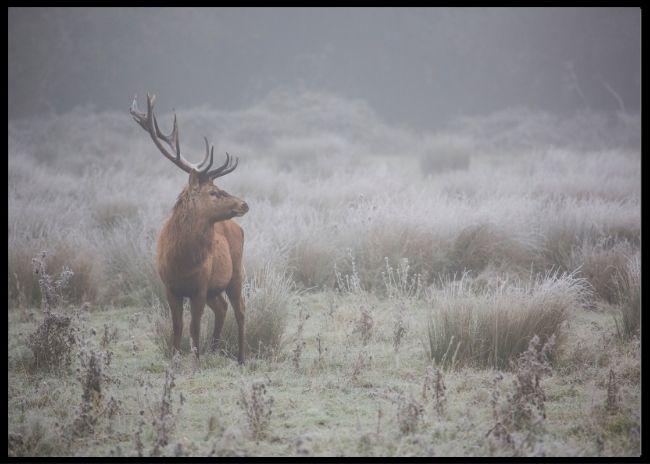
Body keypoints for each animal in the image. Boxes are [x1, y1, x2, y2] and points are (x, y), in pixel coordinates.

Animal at [130, 93, 249, 364]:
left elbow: (194, 327)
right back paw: (215, 349)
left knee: (240, 310)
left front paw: (196, 361)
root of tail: (239, 228)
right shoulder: (169, 287)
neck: (182, 261)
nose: (244, 204)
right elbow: (177, 326)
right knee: (223, 308)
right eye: (214, 192)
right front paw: (175, 358)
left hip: (236, 272)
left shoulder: (200, 286)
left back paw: (240, 357)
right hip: (217, 287)